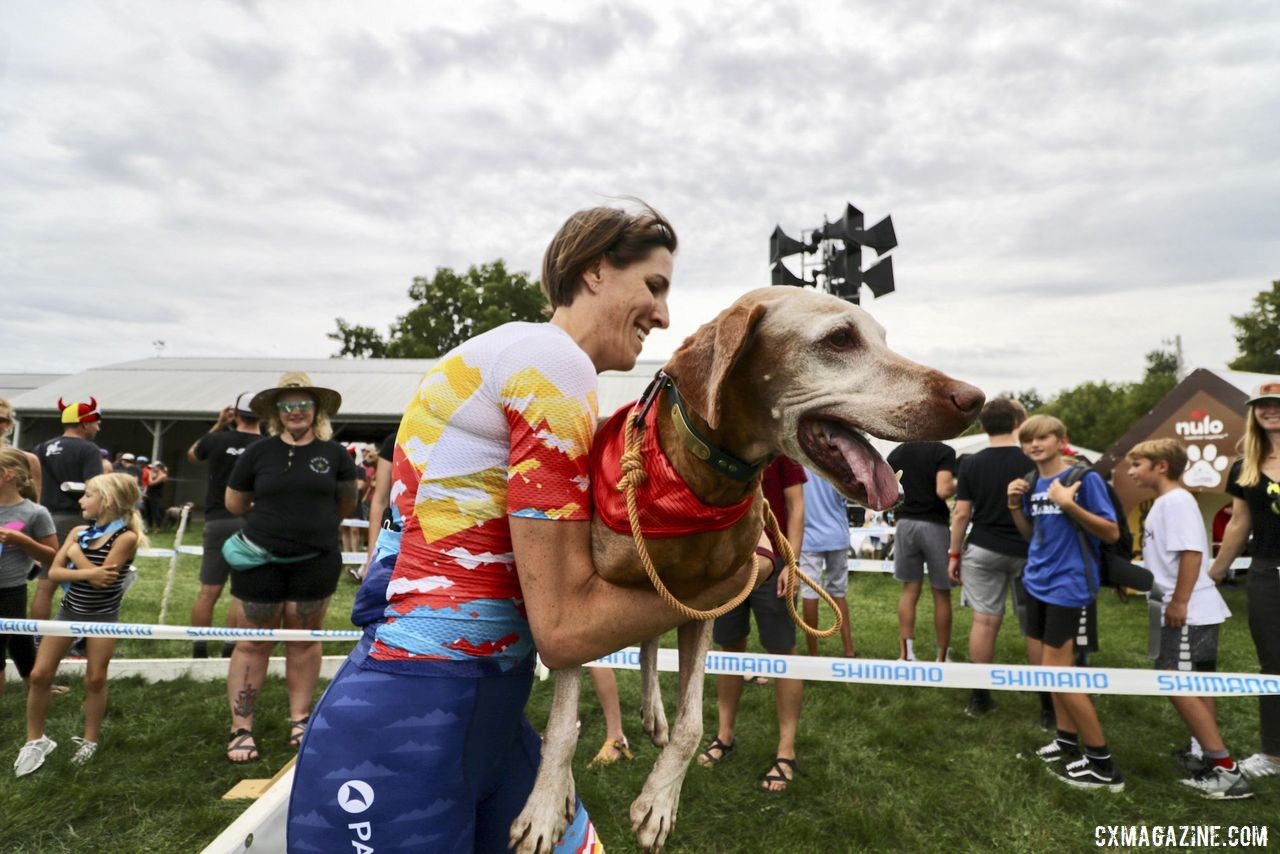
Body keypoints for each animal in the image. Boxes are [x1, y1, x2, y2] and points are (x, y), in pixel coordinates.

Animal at [509, 289, 977, 854]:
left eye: (882, 337)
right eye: (840, 338)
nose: (976, 399)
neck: (703, 479)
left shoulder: (706, 602)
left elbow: (692, 722)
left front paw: (658, 801)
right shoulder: (576, 603)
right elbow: (563, 720)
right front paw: (545, 804)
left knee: (648, 645)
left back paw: (653, 713)